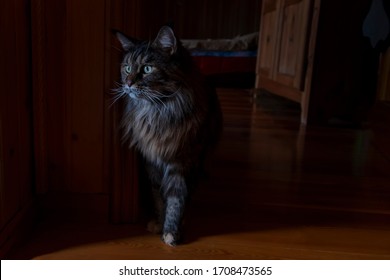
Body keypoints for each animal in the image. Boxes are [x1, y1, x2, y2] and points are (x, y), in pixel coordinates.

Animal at [114, 26, 221, 245]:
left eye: (147, 69)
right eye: (127, 68)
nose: (128, 83)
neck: (158, 112)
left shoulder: (182, 161)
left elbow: (176, 198)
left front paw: (172, 231)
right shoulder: (152, 161)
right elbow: (159, 196)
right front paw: (159, 222)